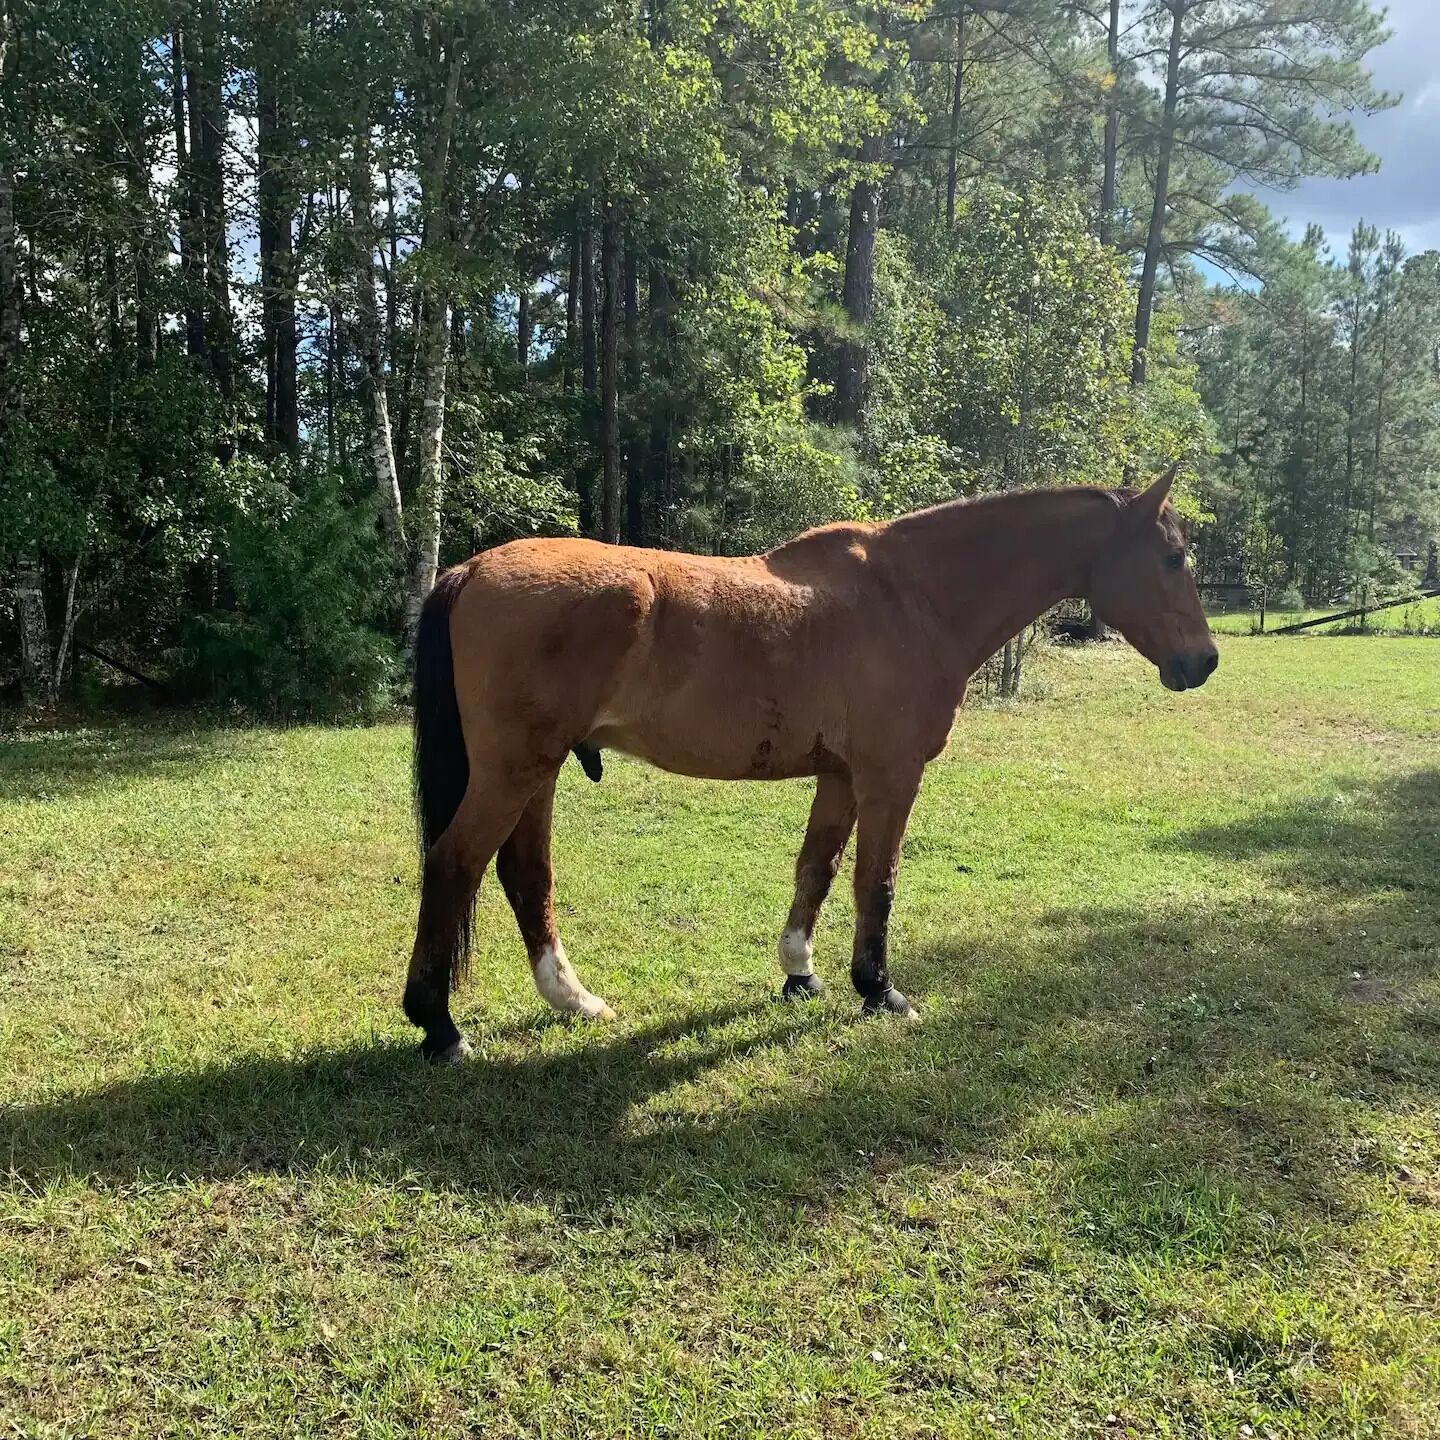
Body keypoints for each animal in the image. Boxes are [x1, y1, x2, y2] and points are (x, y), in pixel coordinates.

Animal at [404, 464, 1218, 1062]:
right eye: (1174, 556)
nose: (1204, 661)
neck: (911, 596)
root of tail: (471, 570)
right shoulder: (890, 776)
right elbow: (875, 882)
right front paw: (878, 988)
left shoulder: (840, 775)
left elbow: (817, 868)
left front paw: (800, 972)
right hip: (513, 772)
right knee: (455, 864)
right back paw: (439, 1026)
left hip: (536, 774)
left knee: (524, 876)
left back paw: (572, 1000)